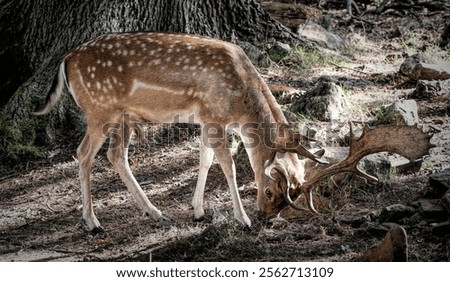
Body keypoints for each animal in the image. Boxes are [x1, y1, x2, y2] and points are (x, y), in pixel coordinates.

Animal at [33, 32, 434, 234]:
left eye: (287, 198)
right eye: (272, 190)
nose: (267, 216)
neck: (242, 98)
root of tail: (65, 60)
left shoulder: (206, 119)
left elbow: (205, 159)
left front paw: (197, 211)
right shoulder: (213, 115)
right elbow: (226, 163)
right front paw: (240, 217)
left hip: (124, 116)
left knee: (116, 155)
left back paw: (154, 212)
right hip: (100, 109)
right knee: (84, 154)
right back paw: (93, 223)